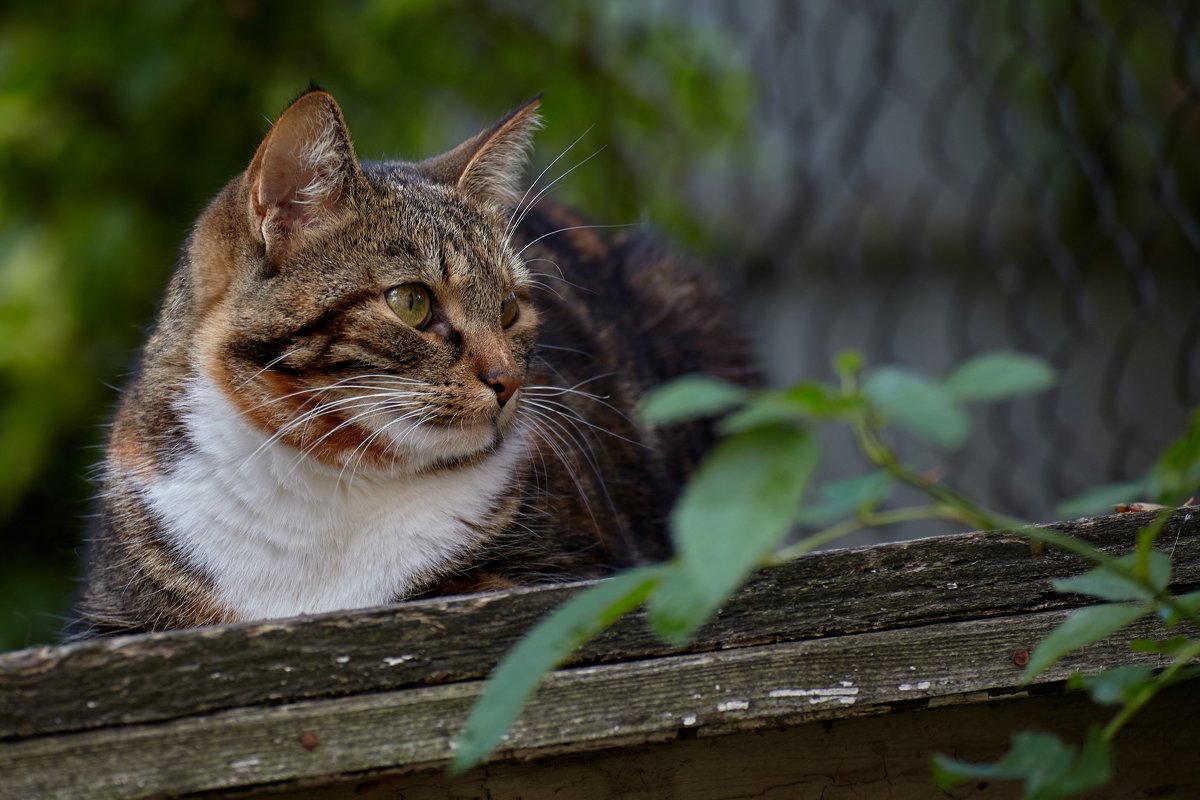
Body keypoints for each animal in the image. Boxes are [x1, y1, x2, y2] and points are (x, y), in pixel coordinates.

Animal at [68, 87, 748, 638]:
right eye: (412, 303)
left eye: (509, 308)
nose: (508, 381)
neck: (330, 485)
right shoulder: (112, 616)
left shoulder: (564, 567)